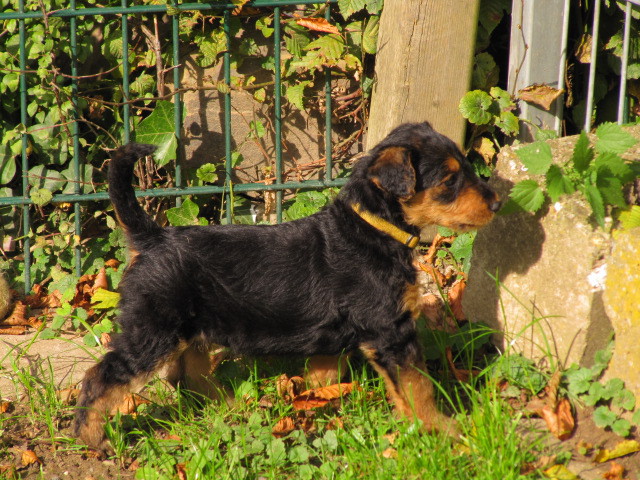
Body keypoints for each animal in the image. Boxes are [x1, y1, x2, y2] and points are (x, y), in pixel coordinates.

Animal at [74, 122, 501, 451]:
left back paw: (229, 406)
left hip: (188, 328)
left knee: (187, 374)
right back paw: (93, 438)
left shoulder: (338, 336)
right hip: (152, 331)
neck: (372, 227)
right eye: (449, 180)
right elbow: (419, 386)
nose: (497, 202)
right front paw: (444, 429)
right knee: (101, 379)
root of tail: (152, 238)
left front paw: (316, 402)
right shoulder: (392, 332)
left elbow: (326, 375)